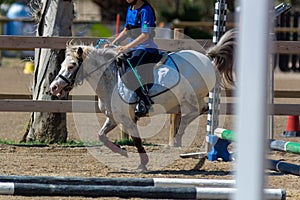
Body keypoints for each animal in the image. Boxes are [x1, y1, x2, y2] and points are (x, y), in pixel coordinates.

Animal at [50, 29, 236, 170]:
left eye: (72, 66)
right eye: (62, 65)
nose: (54, 87)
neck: (111, 78)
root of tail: (207, 58)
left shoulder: (128, 117)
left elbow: (136, 140)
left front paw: (142, 163)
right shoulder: (114, 117)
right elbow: (101, 136)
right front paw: (122, 151)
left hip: (189, 98)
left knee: (194, 112)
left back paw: (178, 138)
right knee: (199, 111)